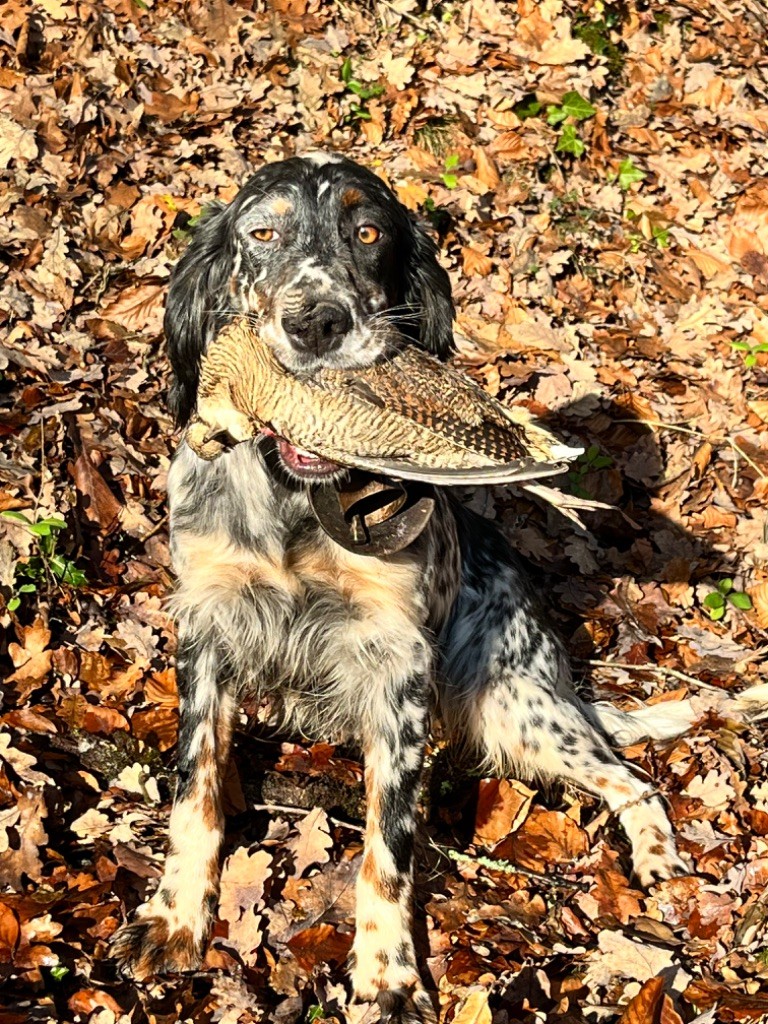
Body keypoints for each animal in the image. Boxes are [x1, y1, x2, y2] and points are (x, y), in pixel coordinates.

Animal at [112, 151, 696, 1024]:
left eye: (368, 232)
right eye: (261, 233)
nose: (316, 324)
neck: (297, 498)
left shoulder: (399, 665)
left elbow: (387, 841)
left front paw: (387, 976)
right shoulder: (210, 627)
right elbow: (195, 790)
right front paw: (177, 916)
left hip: (515, 703)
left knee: (633, 779)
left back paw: (659, 858)